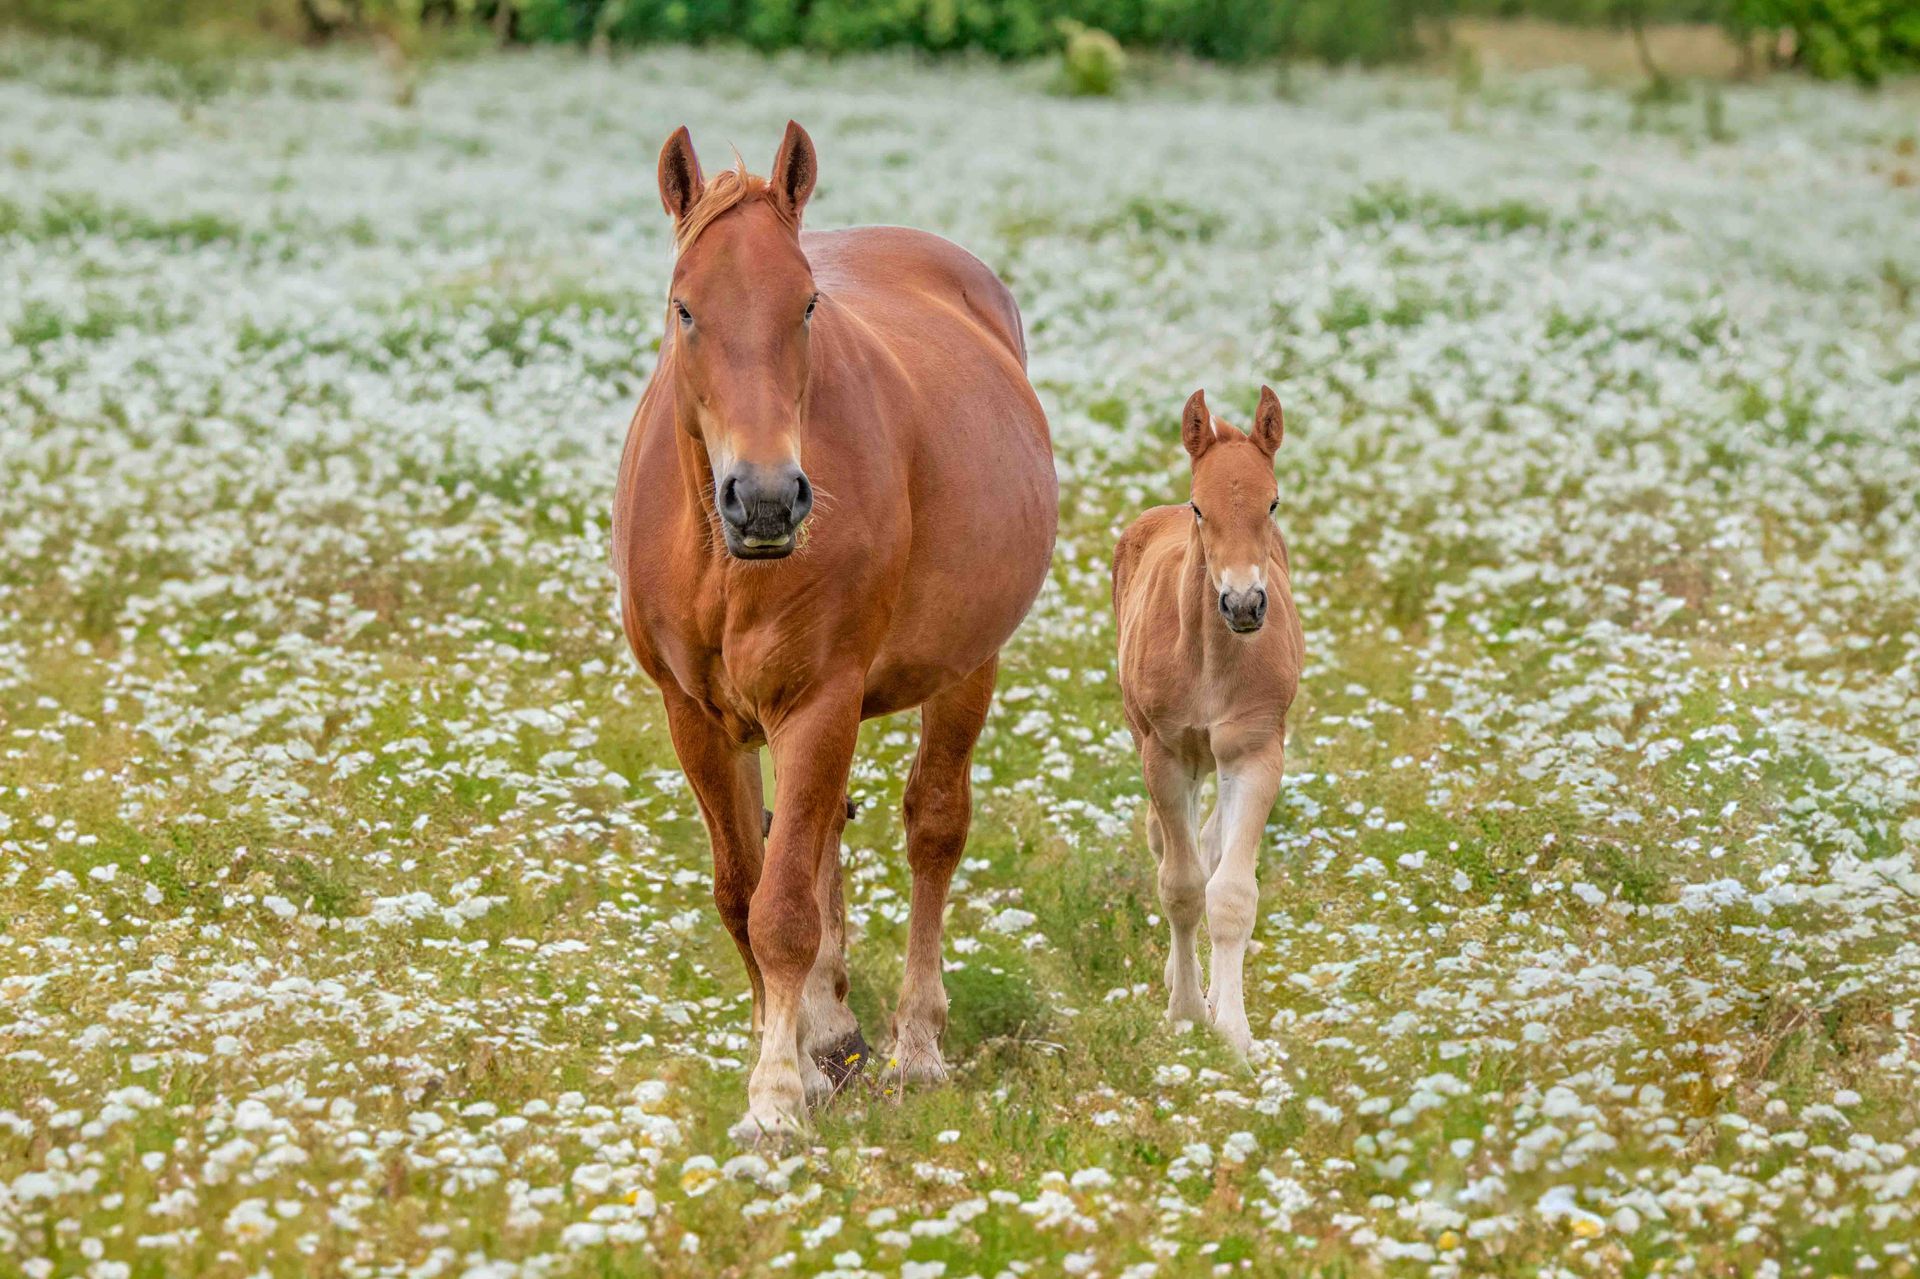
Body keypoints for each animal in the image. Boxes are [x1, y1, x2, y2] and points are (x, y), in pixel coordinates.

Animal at [611, 122, 1057, 1142]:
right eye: (684, 309)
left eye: (807, 304)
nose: (768, 499)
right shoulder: (696, 717)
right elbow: (746, 890)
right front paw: (798, 1061)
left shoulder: (820, 700)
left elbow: (782, 909)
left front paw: (775, 1099)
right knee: (819, 845)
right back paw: (833, 1035)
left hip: (966, 667)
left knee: (932, 829)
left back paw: (914, 1044)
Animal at [1111, 388, 1303, 1055]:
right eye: (1201, 507)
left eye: (1273, 502)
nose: (1244, 605)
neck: (1212, 660)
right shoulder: (1166, 755)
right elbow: (1181, 886)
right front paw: (1186, 1012)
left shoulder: (1256, 752)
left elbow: (1231, 893)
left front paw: (1235, 1032)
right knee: (1169, 843)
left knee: (1213, 843)